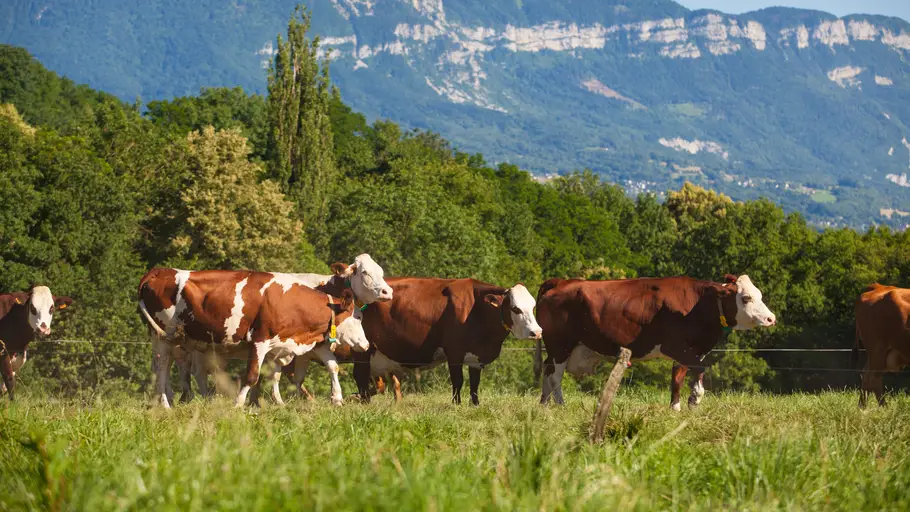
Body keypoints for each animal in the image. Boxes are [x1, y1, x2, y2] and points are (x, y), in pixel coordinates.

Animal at [138, 254, 393, 408]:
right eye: (364, 272)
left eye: (380, 271)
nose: (388, 292)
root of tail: (158, 271)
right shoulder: (263, 341)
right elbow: (258, 375)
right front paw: (244, 404)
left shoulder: (301, 342)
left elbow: (327, 366)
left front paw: (335, 398)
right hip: (165, 337)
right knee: (164, 369)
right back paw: (167, 404)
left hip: (183, 341)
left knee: (181, 369)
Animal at [311, 277, 542, 405]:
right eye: (515, 308)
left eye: (533, 306)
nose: (537, 332)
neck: (476, 309)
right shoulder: (454, 352)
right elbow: (458, 381)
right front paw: (456, 404)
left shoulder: (476, 356)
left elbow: (475, 383)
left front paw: (475, 404)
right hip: (362, 349)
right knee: (360, 374)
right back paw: (364, 400)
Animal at [535, 274, 776, 410]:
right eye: (746, 298)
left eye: (760, 295)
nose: (770, 318)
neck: (699, 304)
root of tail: (561, 282)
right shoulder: (677, 347)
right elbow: (699, 369)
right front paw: (695, 398)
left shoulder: (688, 350)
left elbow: (677, 378)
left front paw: (676, 408)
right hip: (561, 345)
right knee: (555, 376)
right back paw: (560, 405)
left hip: (562, 348)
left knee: (548, 371)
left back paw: (544, 405)